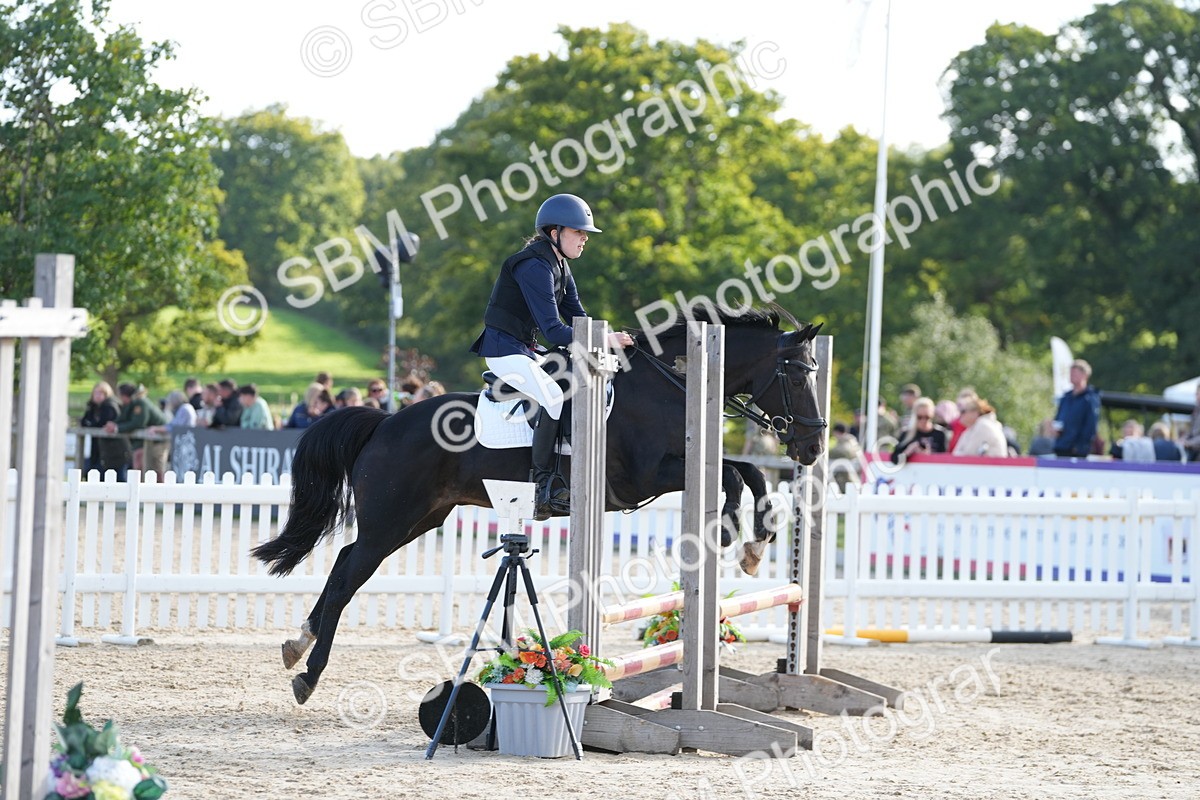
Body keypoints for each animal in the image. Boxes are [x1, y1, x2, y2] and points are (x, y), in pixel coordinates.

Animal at [252, 307, 827, 705]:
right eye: (799, 375)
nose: (814, 447)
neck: (671, 386)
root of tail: (385, 421)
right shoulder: (645, 476)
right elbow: (731, 474)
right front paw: (732, 531)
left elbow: (748, 470)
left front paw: (757, 543)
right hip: (389, 521)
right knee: (348, 576)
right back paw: (308, 674)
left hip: (418, 519)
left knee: (344, 562)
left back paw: (297, 643)